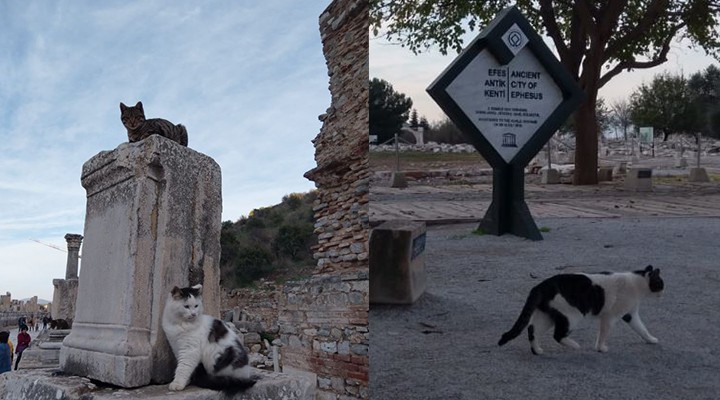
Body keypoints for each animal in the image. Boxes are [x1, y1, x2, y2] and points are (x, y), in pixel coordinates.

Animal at [500, 264, 664, 354]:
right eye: (661, 284)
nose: (663, 292)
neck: (637, 283)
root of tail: (541, 285)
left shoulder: (631, 314)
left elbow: (642, 329)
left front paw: (651, 339)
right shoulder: (609, 317)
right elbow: (603, 334)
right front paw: (600, 348)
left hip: (548, 316)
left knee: (532, 330)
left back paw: (537, 351)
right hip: (572, 316)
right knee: (557, 335)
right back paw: (574, 345)